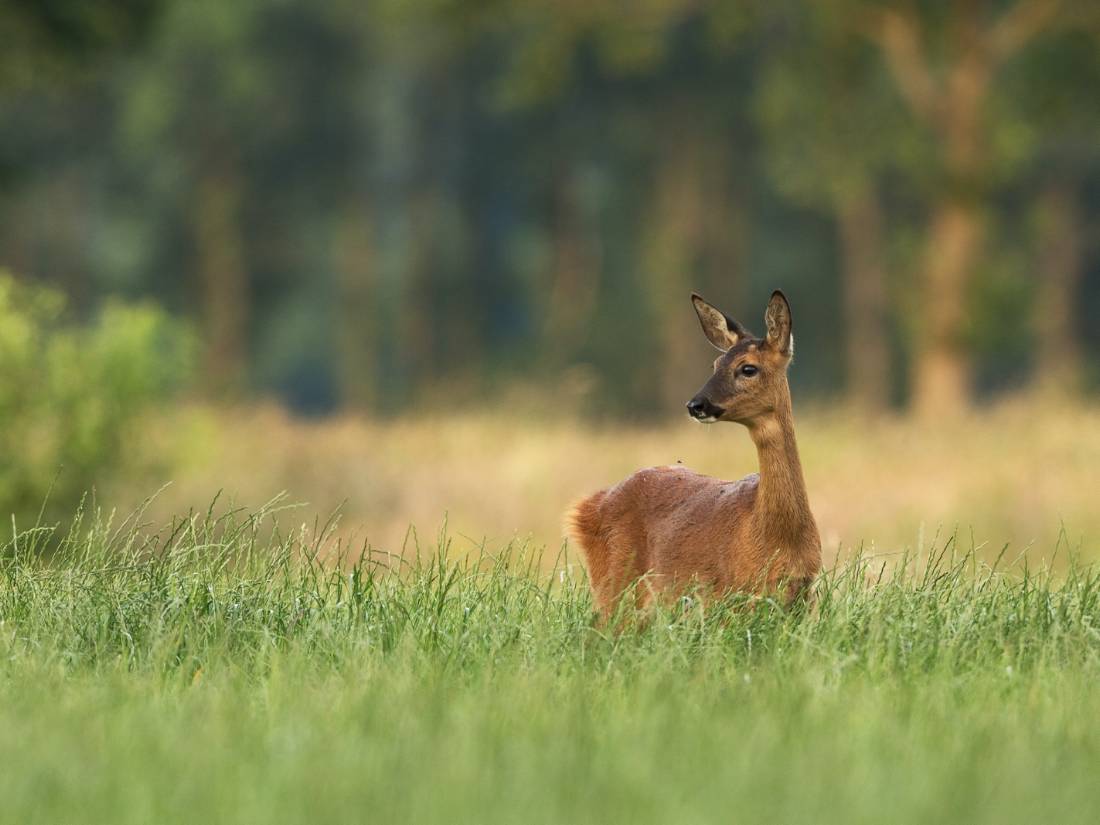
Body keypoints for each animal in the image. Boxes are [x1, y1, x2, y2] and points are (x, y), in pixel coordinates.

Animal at [567, 288, 818, 616]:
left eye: (748, 368)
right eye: (715, 364)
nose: (696, 404)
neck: (776, 535)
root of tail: (588, 505)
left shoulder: (805, 596)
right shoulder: (731, 597)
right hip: (615, 584)